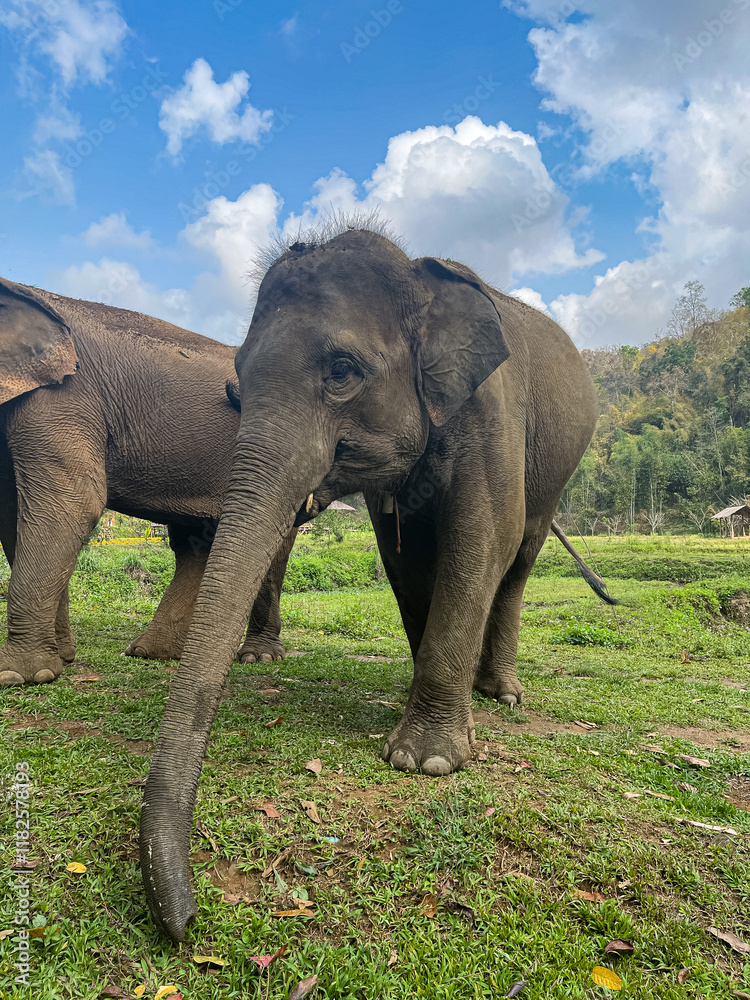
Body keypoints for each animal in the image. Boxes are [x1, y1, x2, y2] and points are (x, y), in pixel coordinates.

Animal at [0, 276, 294, 687]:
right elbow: (12, 511)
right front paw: (61, 658)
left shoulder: (62, 397)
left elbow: (72, 503)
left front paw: (17, 675)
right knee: (196, 541)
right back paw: (152, 652)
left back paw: (258, 656)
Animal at [139, 222, 616, 940]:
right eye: (237, 388)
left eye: (342, 371)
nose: (185, 921)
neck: (415, 273)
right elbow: (406, 560)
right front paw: (426, 712)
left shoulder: (492, 412)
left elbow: (483, 539)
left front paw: (427, 759)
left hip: (559, 465)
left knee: (520, 557)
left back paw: (501, 693)